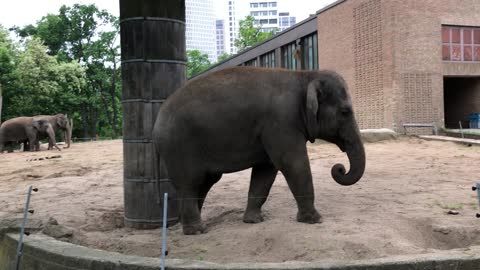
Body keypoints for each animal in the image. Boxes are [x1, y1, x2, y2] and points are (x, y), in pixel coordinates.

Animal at [152, 66, 366, 235]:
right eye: (345, 112)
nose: (339, 168)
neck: (305, 75)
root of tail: (155, 124)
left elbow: (266, 171)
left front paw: (253, 221)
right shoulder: (281, 121)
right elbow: (293, 163)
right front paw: (315, 220)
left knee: (204, 183)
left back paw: (189, 224)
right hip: (179, 147)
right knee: (190, 184)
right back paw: (196, 231)